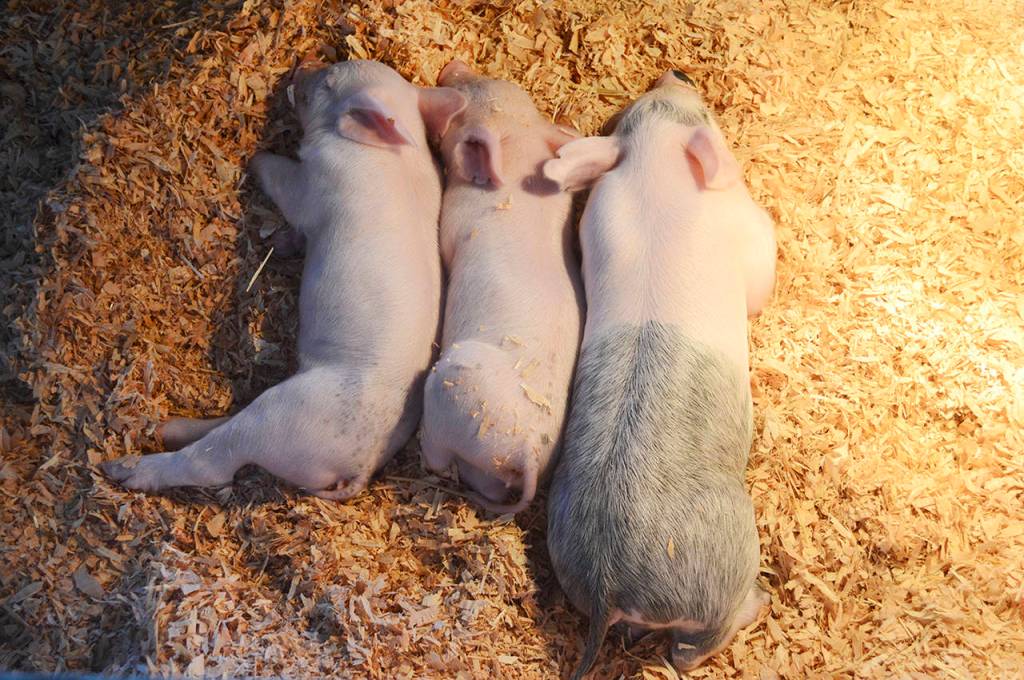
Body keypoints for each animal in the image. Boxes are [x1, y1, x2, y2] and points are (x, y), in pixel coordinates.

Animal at [101, 60, 467, 499]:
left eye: (328, 82)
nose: (301, 67)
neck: (393, 153)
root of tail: (358, 468)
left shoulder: (312, 182)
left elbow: (281, 179)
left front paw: (256, 157)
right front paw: (280, 242)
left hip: (279, 418)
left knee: (212, 462)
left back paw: (123, 467)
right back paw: (164, 427)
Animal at [419, 60, 584, 514]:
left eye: (468, 97)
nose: (453, 65)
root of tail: (524, 452)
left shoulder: (453, 223)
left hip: (446, 393)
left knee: (437, 457)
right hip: (491, 472)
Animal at [541, 69, 776, 678]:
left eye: (635, 111)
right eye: (705, 118)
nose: (677, 72)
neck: (653, 172)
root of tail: (608, 583)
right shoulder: (750, 234)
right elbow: (763, 279)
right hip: (726, 565)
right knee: (691, 649)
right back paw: (762, 601)